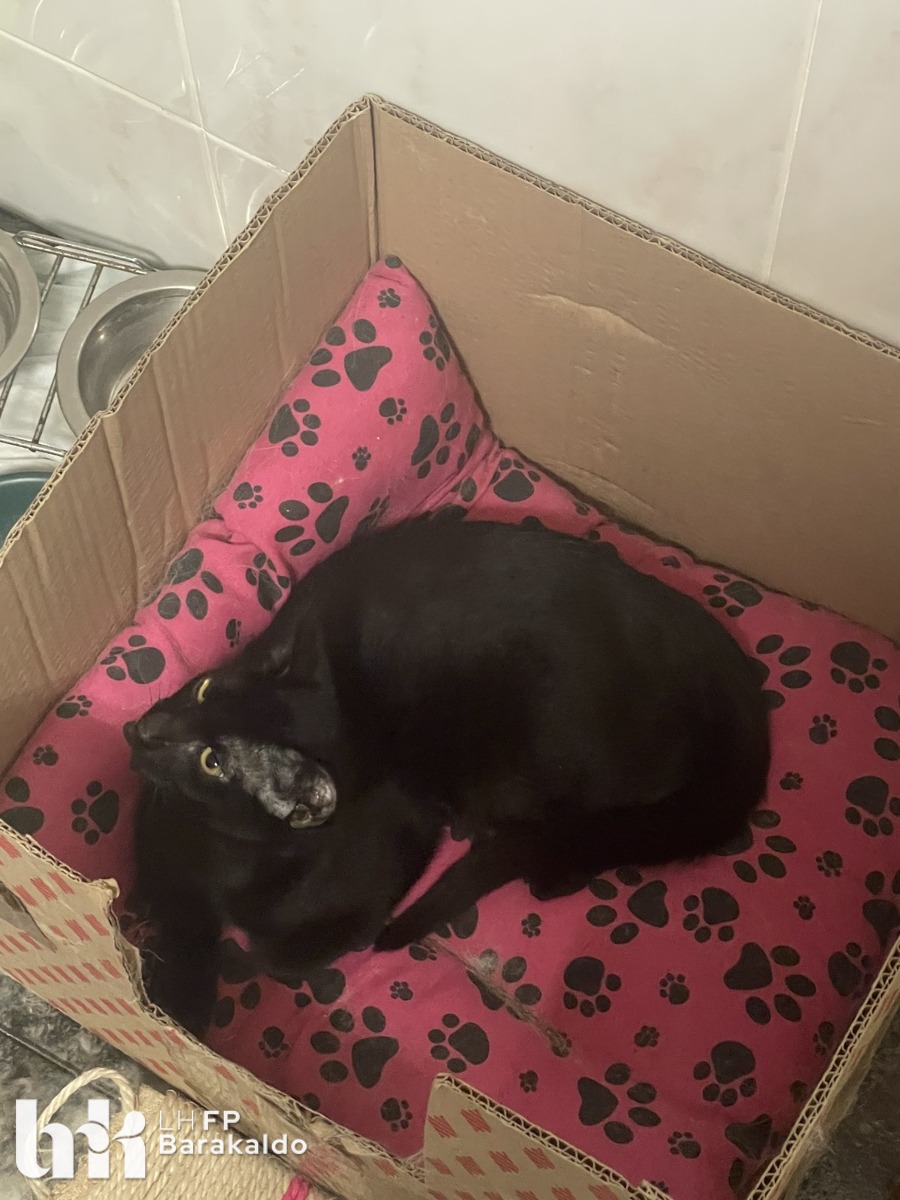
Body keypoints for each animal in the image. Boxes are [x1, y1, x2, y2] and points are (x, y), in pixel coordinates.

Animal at [128, 517, 770, 1035]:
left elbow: (279, 956)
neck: (225, 852)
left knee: (560, 856)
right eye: (202, 689)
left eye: (212, 760)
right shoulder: (159, 851)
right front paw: (173, 1003)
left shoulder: (389, 845)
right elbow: (176, 917)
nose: (141, 729)